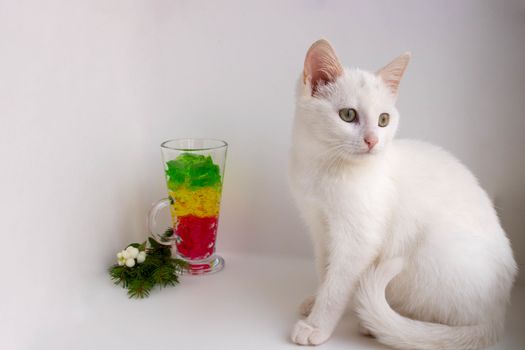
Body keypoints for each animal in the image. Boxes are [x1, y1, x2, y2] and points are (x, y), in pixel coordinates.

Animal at [288, 39, 516, 348]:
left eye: (383, 119)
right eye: (348, 115)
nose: (372, 140)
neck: (325, 167)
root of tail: (497, 314)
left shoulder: (358, 239)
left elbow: (337, 284)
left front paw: (317, 325)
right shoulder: (319, 226)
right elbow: (326, 271)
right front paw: (316, 301)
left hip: (430, 254)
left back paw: (373, 324)